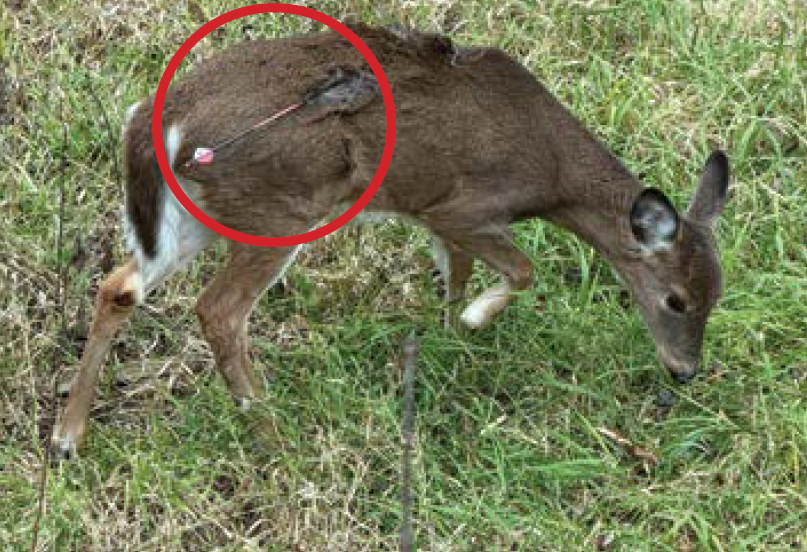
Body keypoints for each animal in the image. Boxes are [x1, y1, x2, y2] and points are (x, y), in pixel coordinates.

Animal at [52, 24, 730, 457]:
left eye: (716, 297)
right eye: (676, 300)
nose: (684, 371)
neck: (552, 175)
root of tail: (158, 117)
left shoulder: (433, 216)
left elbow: (454, 274)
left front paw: (448, 328)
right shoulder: (461, 207)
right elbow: (521, 270)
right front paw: (475, 319)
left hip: (196, 215)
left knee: (120, 287)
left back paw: (67, 436)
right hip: (278, 212)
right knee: (216, 309)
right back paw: (269, 425)